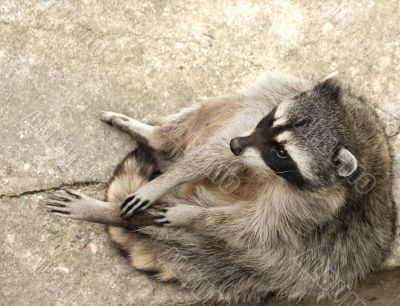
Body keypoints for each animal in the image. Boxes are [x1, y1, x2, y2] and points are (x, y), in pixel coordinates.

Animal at [44, 71, 396, 304]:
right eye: (271, 120)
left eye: (282, 152)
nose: (237, 145)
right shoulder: (256, 118)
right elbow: (214, 151)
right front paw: (167, 179)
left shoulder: (307, 210)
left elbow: (247, 225)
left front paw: (189, 215)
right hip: (280, 86)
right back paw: (156, 136)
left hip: (275, 266)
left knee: (208, 246)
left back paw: (111, 213)